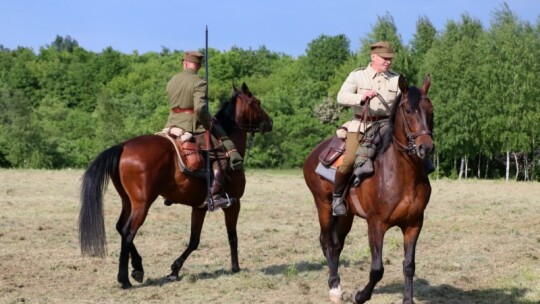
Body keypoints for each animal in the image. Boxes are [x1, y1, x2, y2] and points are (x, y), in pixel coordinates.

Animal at [78, 83, 272, 290]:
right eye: (257, 103)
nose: (270, 122)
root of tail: (122, 146)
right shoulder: (234, 204)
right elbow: (232, 235)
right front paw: (235, 267)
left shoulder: (199, 207)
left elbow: (194, 240)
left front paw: (175, 269)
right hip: (142, 204)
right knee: (128, 233)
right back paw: (125, 279)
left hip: (128, 202)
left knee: (120, 228)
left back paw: (137, 268)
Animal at [304, 76, 434, 304]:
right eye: (409, 110)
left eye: (431, 111)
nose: (425, 148)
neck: (401, 175)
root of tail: (314, 153)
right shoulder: (376, 224)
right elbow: (377, 268)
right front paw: (360, 296)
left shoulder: (414, 224)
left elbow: (409, 265)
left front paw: (407, 300)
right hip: (323, 204)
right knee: (327, 241)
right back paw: (334, 287)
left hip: (346, 215)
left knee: (336, 244)